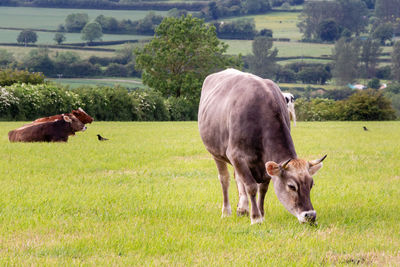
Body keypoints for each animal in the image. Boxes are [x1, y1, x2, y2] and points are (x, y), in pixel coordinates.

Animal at [198, 69, 326, 226]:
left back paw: (242, 208)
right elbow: (251, 186)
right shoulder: (236, 155)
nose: (310, 216)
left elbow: (262, 189)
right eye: (291, 186)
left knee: (238, 178)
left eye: (311, 184)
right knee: (224, 179)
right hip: (216, 153)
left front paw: (261, 213)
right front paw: (256, 217)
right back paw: (226, 212)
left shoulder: (263, 164)